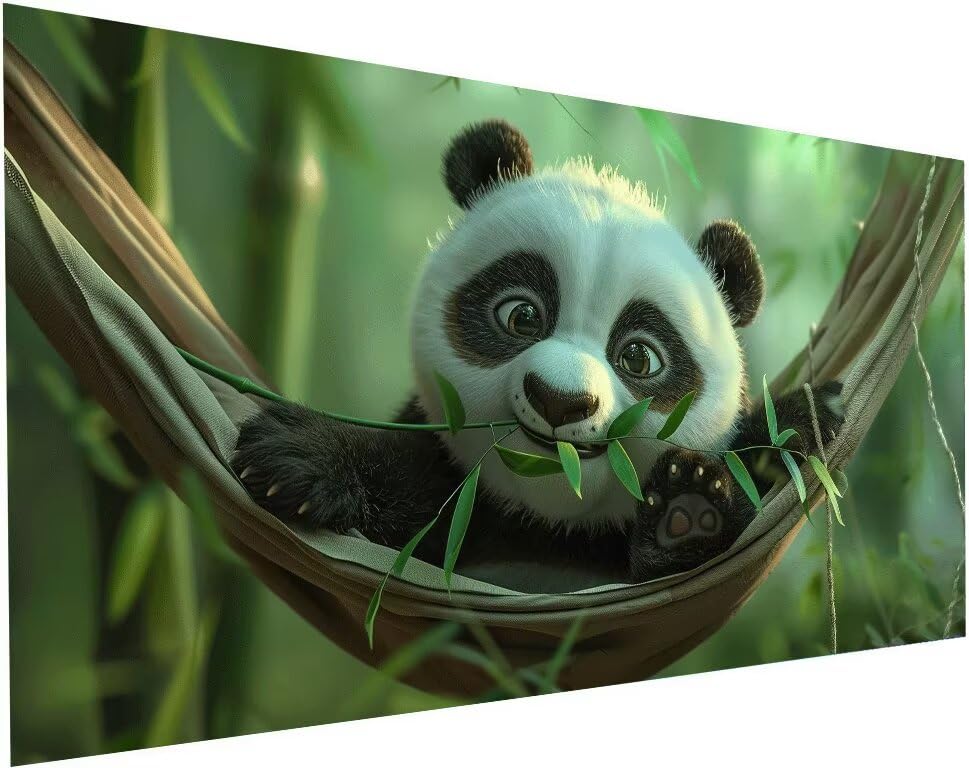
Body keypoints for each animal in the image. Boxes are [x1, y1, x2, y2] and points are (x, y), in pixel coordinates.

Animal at [232, 119, 842, 591]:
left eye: (639, 358)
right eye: (522, 316)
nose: (559, 400)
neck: (547, 518)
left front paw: (770, 442)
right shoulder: (448, 494)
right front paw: (296, 455)